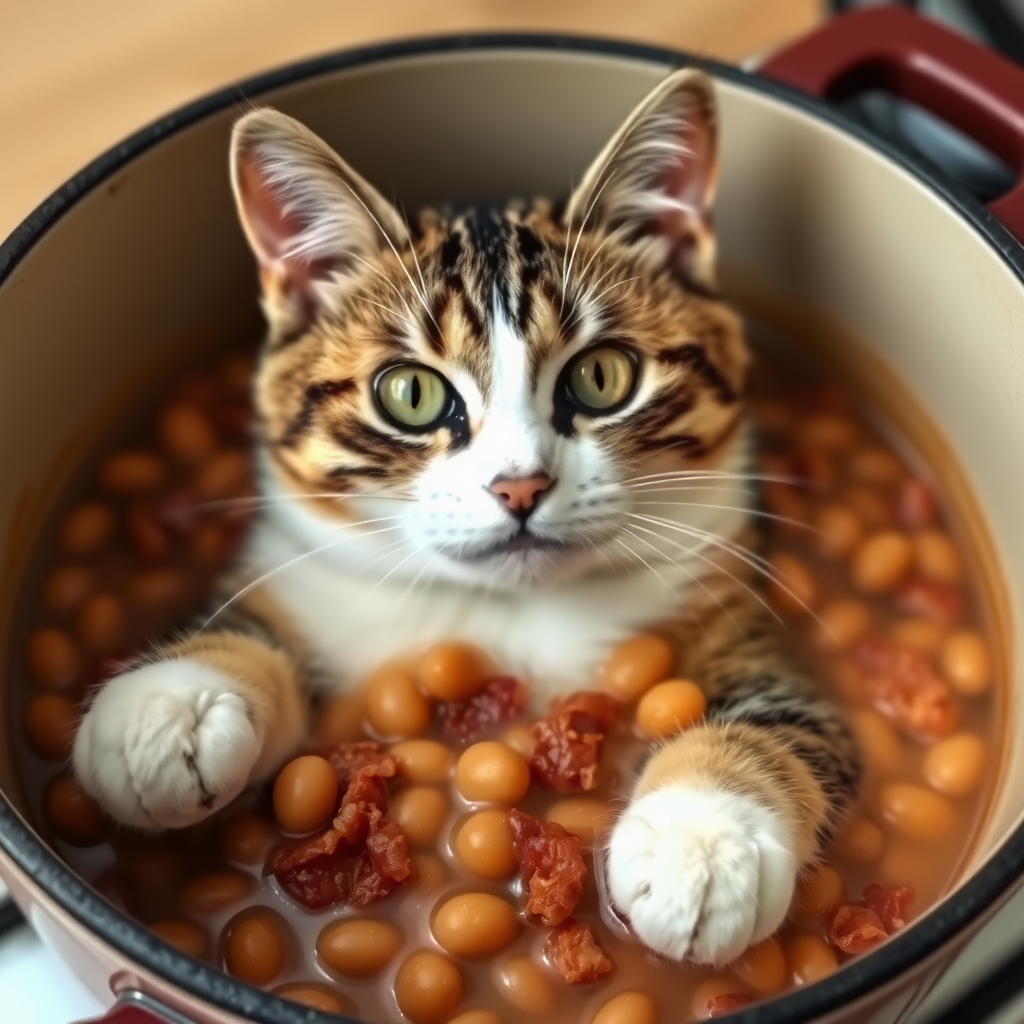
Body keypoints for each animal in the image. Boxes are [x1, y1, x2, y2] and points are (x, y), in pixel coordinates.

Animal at [70, 68, 856, 962]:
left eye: (603, 378)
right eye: (410, 393)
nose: (521, 486)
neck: (503, 614)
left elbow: (784, 716)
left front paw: (705, 843)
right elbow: (248, 624)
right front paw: (169, 705)